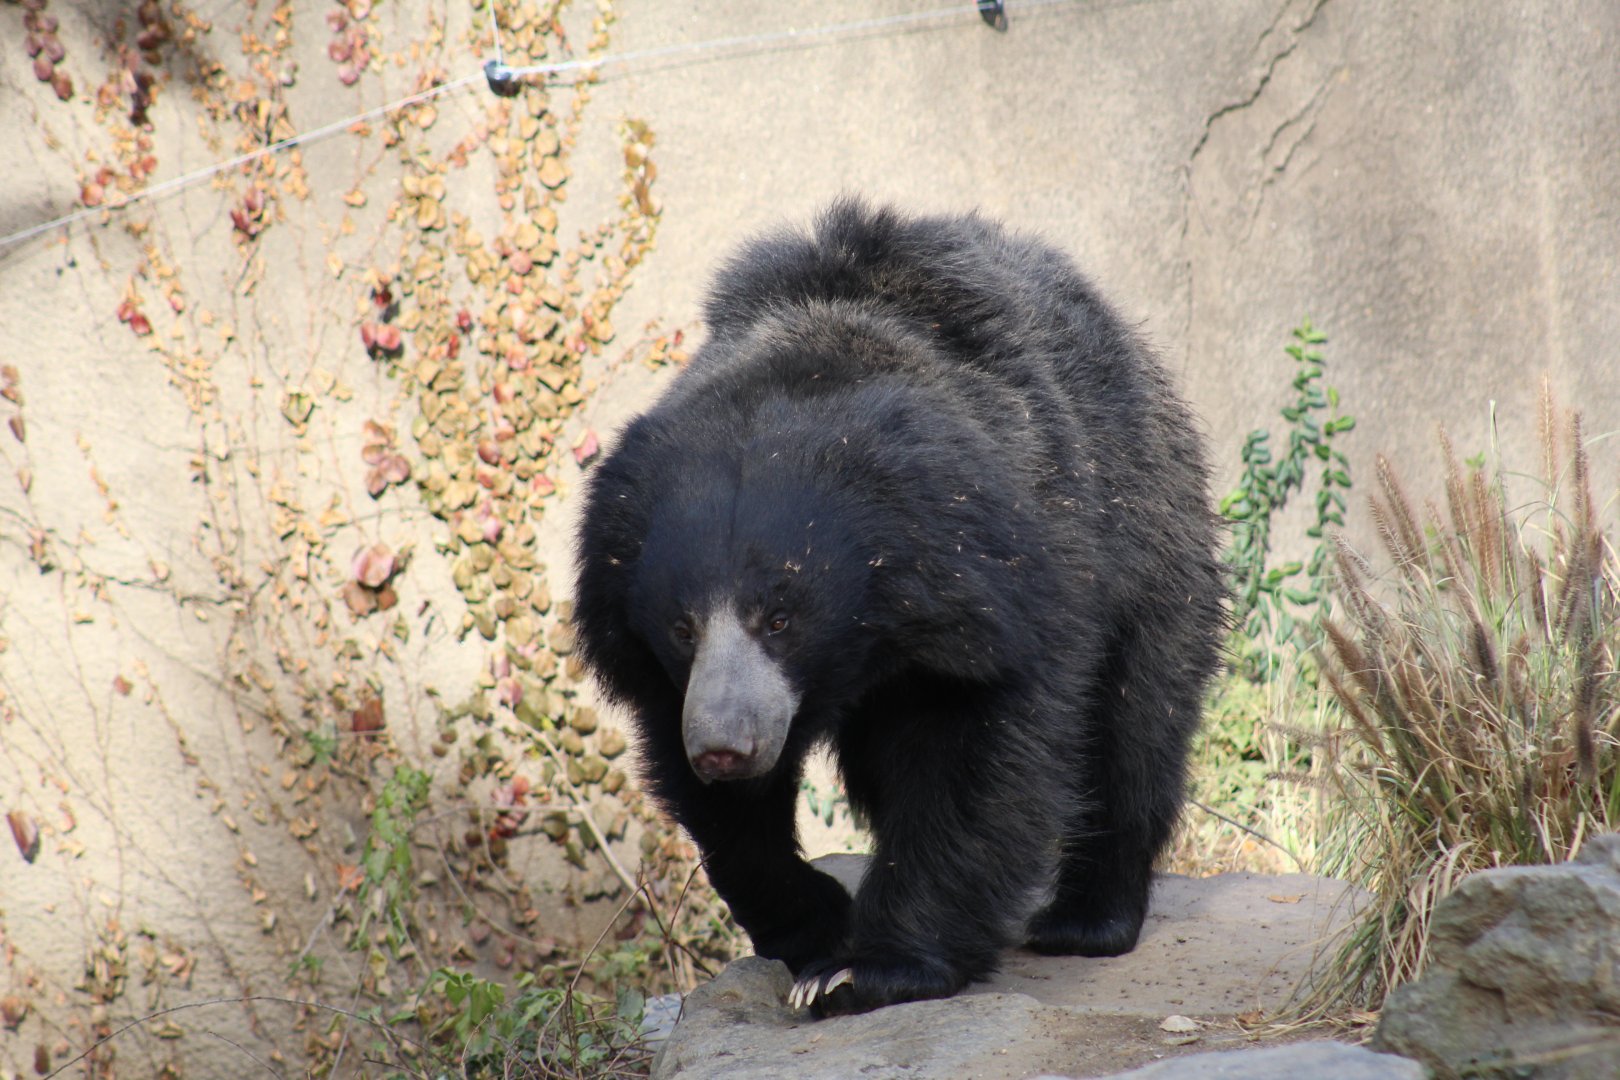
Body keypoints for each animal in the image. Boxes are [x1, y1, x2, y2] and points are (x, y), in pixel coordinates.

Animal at [573, 200, 1225, 1016]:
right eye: (682, 627)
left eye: (780, 619)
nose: (725, 748)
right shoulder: (664, 676)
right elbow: (723, 813)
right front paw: (816, 931)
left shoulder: (996, 591)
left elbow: (978, 755)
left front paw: (869, 970)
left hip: (1148, 534)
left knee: (1135, 724)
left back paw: (1085, 920)